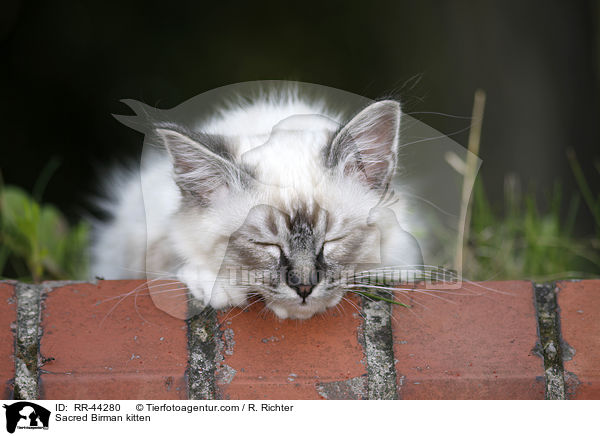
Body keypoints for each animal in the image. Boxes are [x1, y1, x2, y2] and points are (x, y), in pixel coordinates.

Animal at [91, 89, 424, 320]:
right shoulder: (140, 235)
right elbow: (169, 255)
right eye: (265, 245)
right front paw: (218, 285)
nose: (304, 287)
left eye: (333, 240)